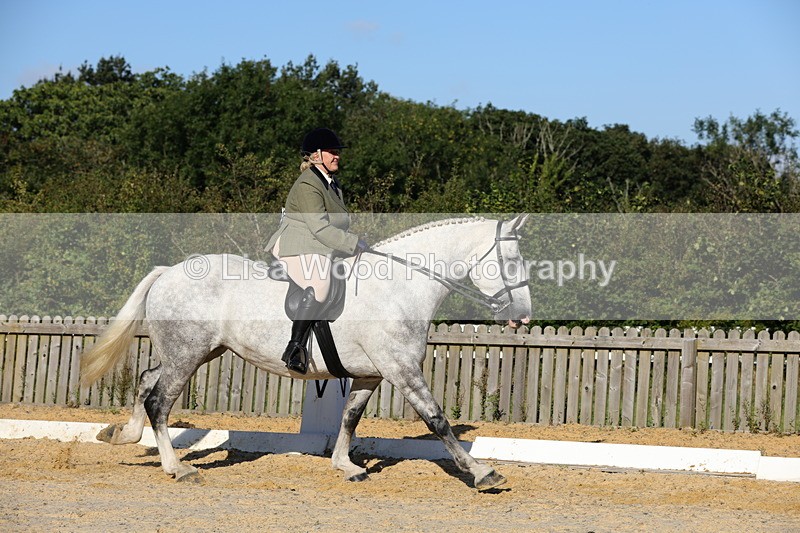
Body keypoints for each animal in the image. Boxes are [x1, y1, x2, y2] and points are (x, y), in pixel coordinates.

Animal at [80, 214, 532, 490]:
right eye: (511, 261)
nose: (523, 317)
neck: (398, 287)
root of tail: (168, 272)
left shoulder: (371, 373)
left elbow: (350, 417)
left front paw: (345, 466)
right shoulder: (401, 369)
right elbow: (437, 420)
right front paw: (482, 472)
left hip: (197, 352)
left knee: (145, 381)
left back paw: (122, 435)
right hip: (186, 355)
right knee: (159, 401)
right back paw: (177, 468)